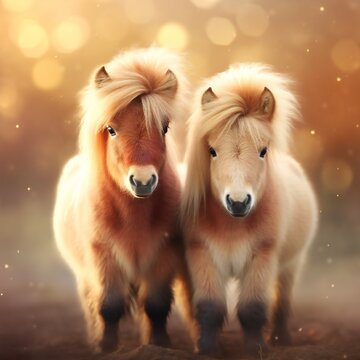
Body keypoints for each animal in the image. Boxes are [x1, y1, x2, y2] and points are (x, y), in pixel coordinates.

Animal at [53, 47, 194, 352]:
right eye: (111, 129)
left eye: (164, 128)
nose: (142, 181)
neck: (133, 215)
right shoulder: (103, 257)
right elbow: (109, 305)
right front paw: (106, 346)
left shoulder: (163, 254)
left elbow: (155, 304)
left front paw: (159, 344)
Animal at [181, 64, 316, 354]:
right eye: (212, 151)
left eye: (263, 151)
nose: (238, 202)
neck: (232, 226)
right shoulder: (202, 255)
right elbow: (209, 307)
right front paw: (206, 349)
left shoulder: (261, 257)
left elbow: (252, 308)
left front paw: (256, 349)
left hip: (291, 265)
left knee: (282, 300)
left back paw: (280, 339)